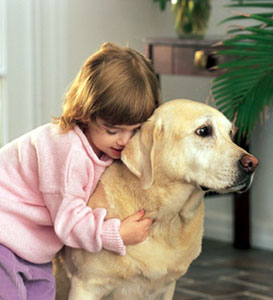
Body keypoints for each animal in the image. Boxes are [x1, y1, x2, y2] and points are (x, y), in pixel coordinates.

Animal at [53, 100, 258, 300]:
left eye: (230, 133)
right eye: (203, 131)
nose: (252, 164)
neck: (165, 218)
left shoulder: (166, 287)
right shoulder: (86, 284)